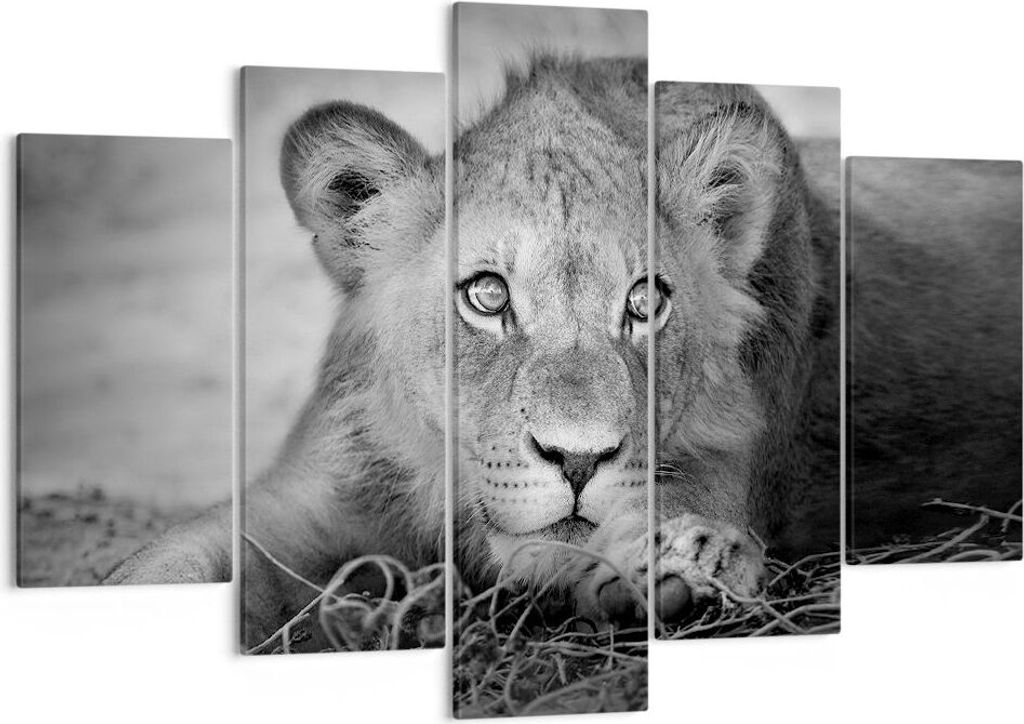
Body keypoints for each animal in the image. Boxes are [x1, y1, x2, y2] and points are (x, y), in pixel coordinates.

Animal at [106, 57, 840, 647]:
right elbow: (169, 560)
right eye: (487, 295)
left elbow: (688, 498)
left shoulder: (733, 455)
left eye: (644, 301)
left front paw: (687, 561)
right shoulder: (315, 491)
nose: (578, 460)